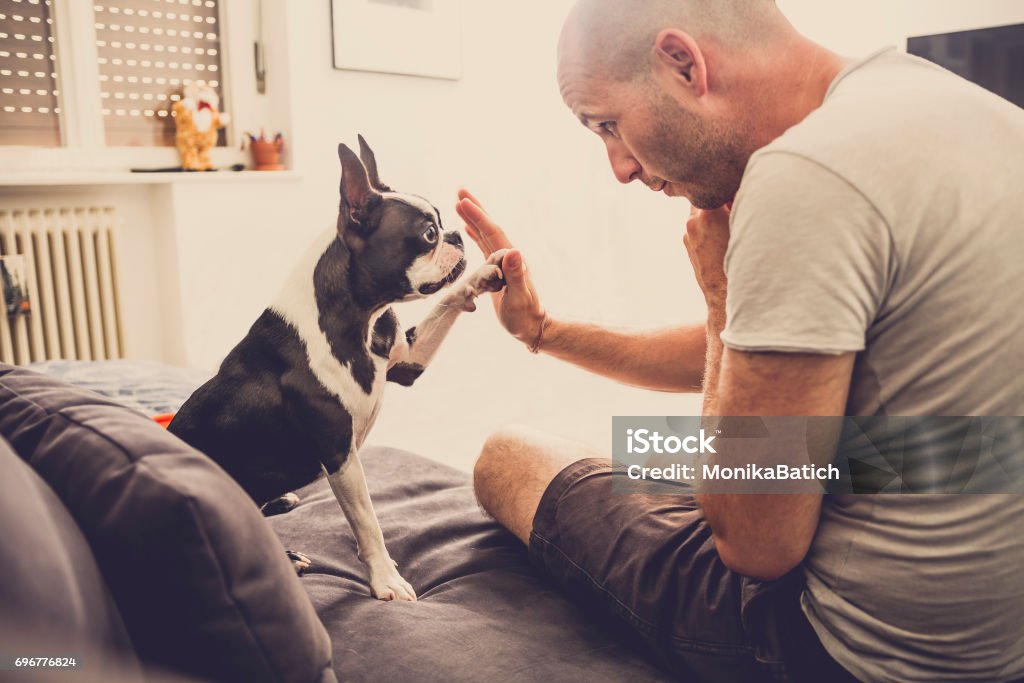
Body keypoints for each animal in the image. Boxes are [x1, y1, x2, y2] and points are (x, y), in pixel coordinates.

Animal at [169, 136, 505, 602]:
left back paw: (282, 501)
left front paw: (484, 274)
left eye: (442, 222)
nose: (455, 234)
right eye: (428, 234)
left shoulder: (407, 358)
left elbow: (448, 301)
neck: (358, 319)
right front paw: (386, 580)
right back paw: (288, 557)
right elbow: (367, 521)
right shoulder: (339, 453)